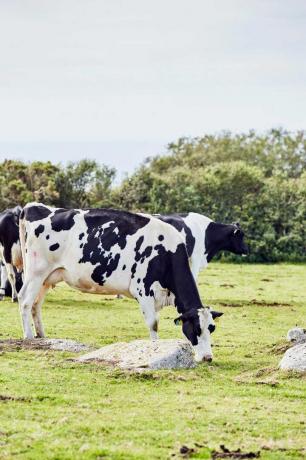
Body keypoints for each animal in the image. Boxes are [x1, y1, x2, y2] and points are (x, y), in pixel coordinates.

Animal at [17, 203, 221, 362]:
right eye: (196, 329)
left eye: (211, 328)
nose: (207, 358)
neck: (166, 252)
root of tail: (35, 207)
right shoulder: (143, 289)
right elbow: (153, 323)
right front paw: (155, 348)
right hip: (36, 272)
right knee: (25, 300)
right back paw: (28, 336)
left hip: (47, 277)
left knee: (36, 304)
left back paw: (41, 335)